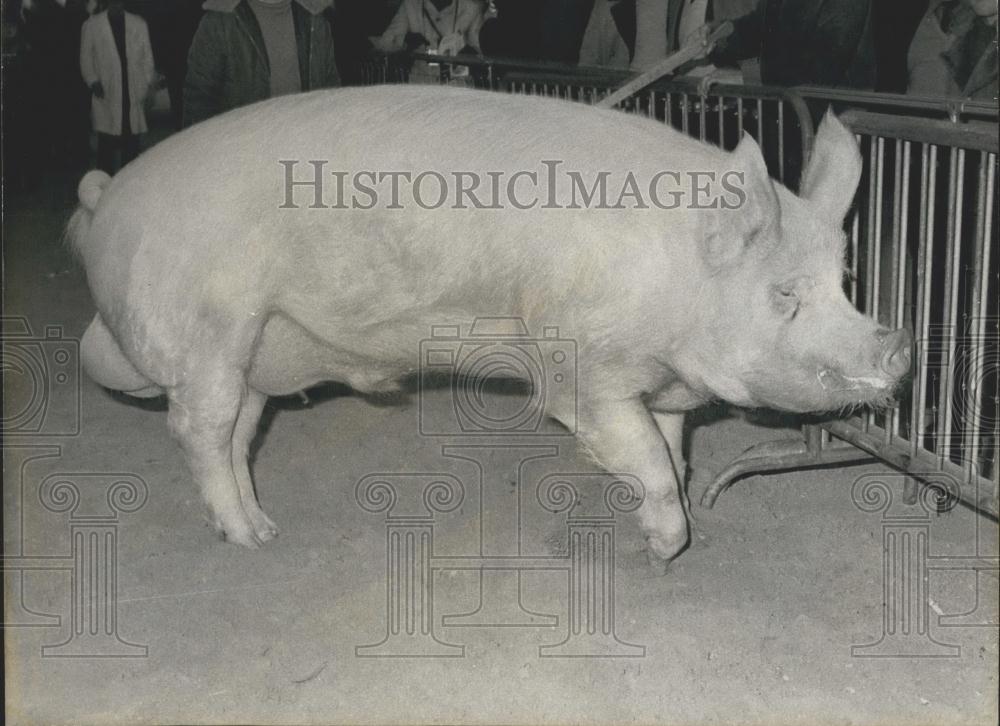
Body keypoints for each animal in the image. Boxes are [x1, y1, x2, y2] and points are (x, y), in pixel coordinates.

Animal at [67, 85, 912, 560]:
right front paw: (668, 548)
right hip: (206, 330)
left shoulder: (663, 384)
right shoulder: (581, 369)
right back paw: (249, 543)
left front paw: (660, 534)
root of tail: (104, 202)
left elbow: (672, 454)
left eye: (844, 284)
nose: (898, 346)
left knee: (238, 432)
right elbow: (639, 455)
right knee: (197, 429)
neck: (677, 282)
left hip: (256, 346)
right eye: (784, 295)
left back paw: (263, 527)